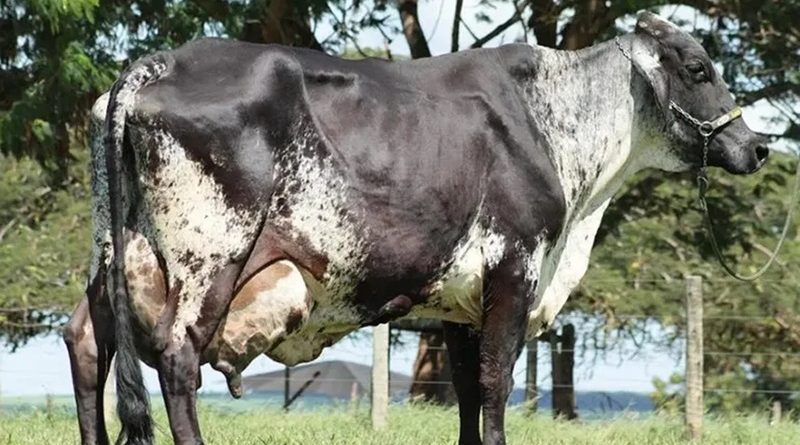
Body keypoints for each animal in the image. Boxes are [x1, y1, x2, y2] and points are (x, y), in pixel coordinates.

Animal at [63, 12, 767, 445]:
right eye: (698, 69)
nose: (757, 146)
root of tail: (162, 63)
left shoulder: (461, 305)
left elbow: (466, 394)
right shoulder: (514, 270)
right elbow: (495, 385)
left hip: (112, 257)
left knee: (88, 342)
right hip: (210, 257)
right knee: (177, 356)